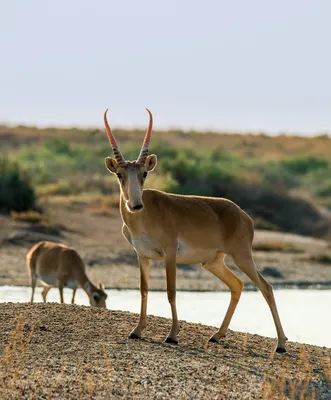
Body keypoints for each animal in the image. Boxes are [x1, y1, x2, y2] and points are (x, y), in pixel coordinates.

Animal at [103, 109, 288, 354]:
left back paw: (281, 344)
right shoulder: (142, 256)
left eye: (144, 173)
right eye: (119, 174)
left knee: (266, 287)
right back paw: (217, 335)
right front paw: (137, 331)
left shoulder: (169, 254)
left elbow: (171, 291)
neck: (145, 216)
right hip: (213, 262)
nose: (135, 205)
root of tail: (244, 216)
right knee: (237, 285)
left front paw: (172, 335)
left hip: (242, 256)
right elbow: (144, 289)